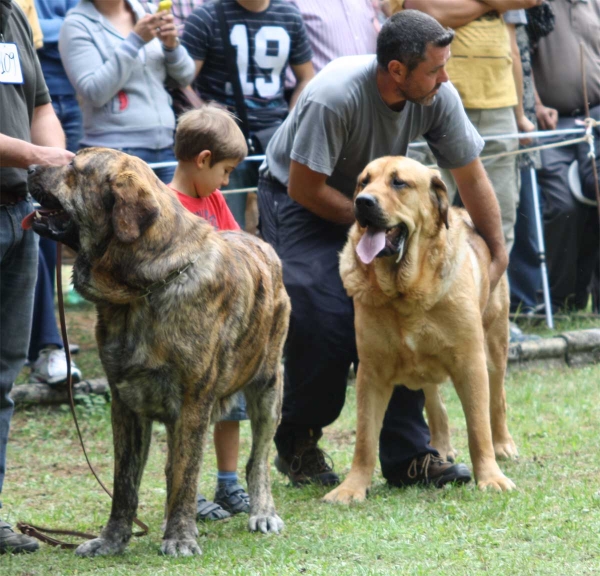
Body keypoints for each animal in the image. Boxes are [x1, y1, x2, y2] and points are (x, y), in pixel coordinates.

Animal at [24, 150, 292, 560]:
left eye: (74, 168)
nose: (29, 167)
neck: (143, 290)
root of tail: (261, 243)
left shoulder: (194, 403)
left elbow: (185, 474)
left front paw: (180, 536)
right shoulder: (126, 403)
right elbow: (125, 483)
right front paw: (113, 538)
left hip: (267, 389)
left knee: (257, 460)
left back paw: (262, 512)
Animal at [322, 158, 516, 504]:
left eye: (399, 183)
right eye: (364, 182)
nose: (363, 202)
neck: (405, 290)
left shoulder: (470, 362)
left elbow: (478, 427)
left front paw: (491, 478)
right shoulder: (371, 371)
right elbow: (365, 439)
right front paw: (351, 488)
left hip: (494, 345)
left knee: (497, 400)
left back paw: (503, 445)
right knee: (434, 401)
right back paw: (440, 448)